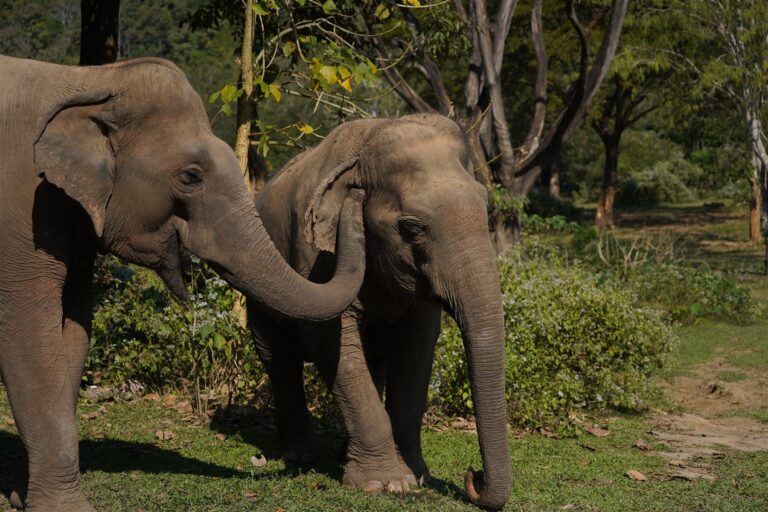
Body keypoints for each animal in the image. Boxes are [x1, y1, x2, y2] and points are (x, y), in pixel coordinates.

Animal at [0, 54, 366, 512]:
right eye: (191, 176)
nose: (355, 184)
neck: (92, 79)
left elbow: (73, 337)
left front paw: (23, 496)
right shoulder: (19, 216)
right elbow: (29, 338)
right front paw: (65, 508)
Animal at [247, 113, 511, 510]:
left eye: (484, 208)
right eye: (411, 227)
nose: (473, 475)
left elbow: (416, 351)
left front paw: (417, 476)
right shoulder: (315, 260)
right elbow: (332, 343)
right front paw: (385, 484)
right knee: (279, 359)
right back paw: (300, 455)